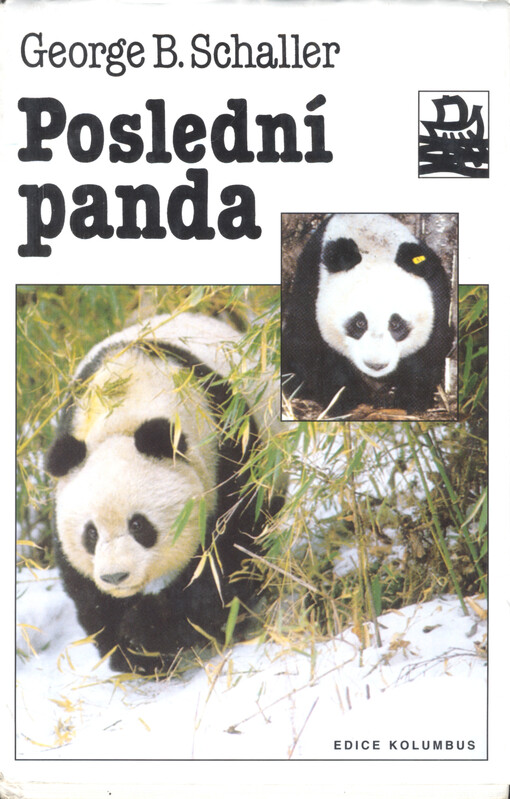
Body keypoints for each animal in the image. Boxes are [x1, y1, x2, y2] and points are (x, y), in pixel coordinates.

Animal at [45, 312, 283, 674]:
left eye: (139, 525)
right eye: (90, 534)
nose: (115, 576)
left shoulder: (228, 449)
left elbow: (225, 558)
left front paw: (148, 632)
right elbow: (86, 589)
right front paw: (131, 653)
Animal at [282, 214, 455, 416]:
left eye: (395, 324)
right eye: (359, 323)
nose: (376, 365)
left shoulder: (436, 292)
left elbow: (430, 351)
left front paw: (410, 400)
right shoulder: (311, 285)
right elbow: (311, 348)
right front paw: (343, 399)